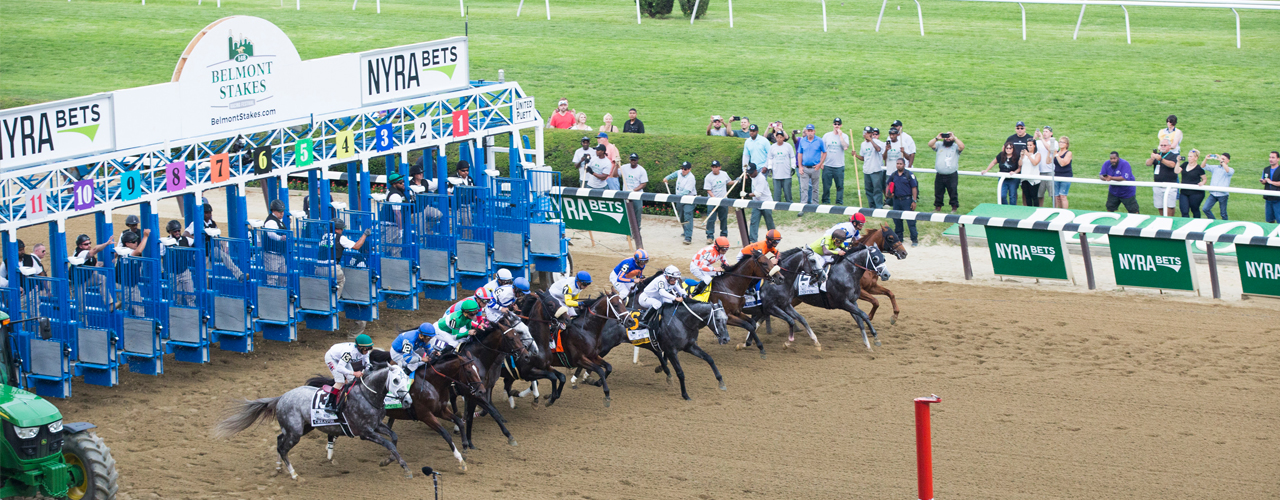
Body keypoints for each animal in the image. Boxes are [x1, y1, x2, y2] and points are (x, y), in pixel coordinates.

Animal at [209, 365, 409, 480]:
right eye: (396, 380)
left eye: (407, 379)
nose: (407, 401)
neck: (368, 396)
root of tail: (281, 398)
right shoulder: (365, 432)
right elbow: (389, 443)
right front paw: (405, 468)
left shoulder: (376, 425)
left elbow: (394, 438)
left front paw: (388, 460)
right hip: (296, 432)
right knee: (283, 448)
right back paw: (294, 475)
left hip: (301, 428)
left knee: (279, 440)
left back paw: (278, 467)